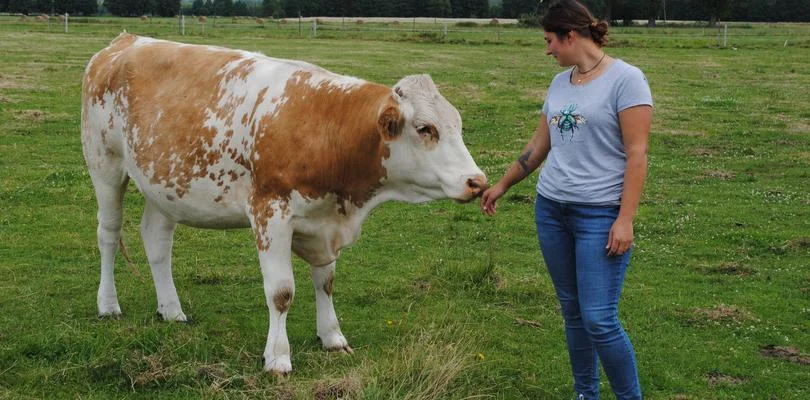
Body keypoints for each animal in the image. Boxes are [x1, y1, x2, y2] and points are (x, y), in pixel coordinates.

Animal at [80, 33, 486, 376]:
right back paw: (108, 305)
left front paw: (332, 337)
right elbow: (281, 291)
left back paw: (171, 309)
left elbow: (326, 281)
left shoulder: (323, 221)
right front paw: (277, 357)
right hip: (105, 166)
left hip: (164, 186)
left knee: (157, 241)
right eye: (425, 128)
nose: (477, 181)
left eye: (457, 125)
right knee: (108, 234)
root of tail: (125, 41)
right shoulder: (270, 213)